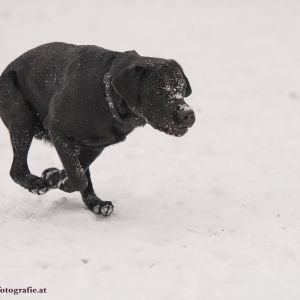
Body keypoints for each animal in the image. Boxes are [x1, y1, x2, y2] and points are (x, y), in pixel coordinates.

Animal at [0, 42, 195, 216]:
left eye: (182, 89)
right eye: (158, 92)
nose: (188, 114)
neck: (105, 95)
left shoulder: (95, 145)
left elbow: (79, 172)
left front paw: (53, 176)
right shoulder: (57, 129)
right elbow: (79, 177)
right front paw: (53, 179)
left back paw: (96, 203)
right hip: (22, 119)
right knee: (16, 169)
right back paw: (35, 184)